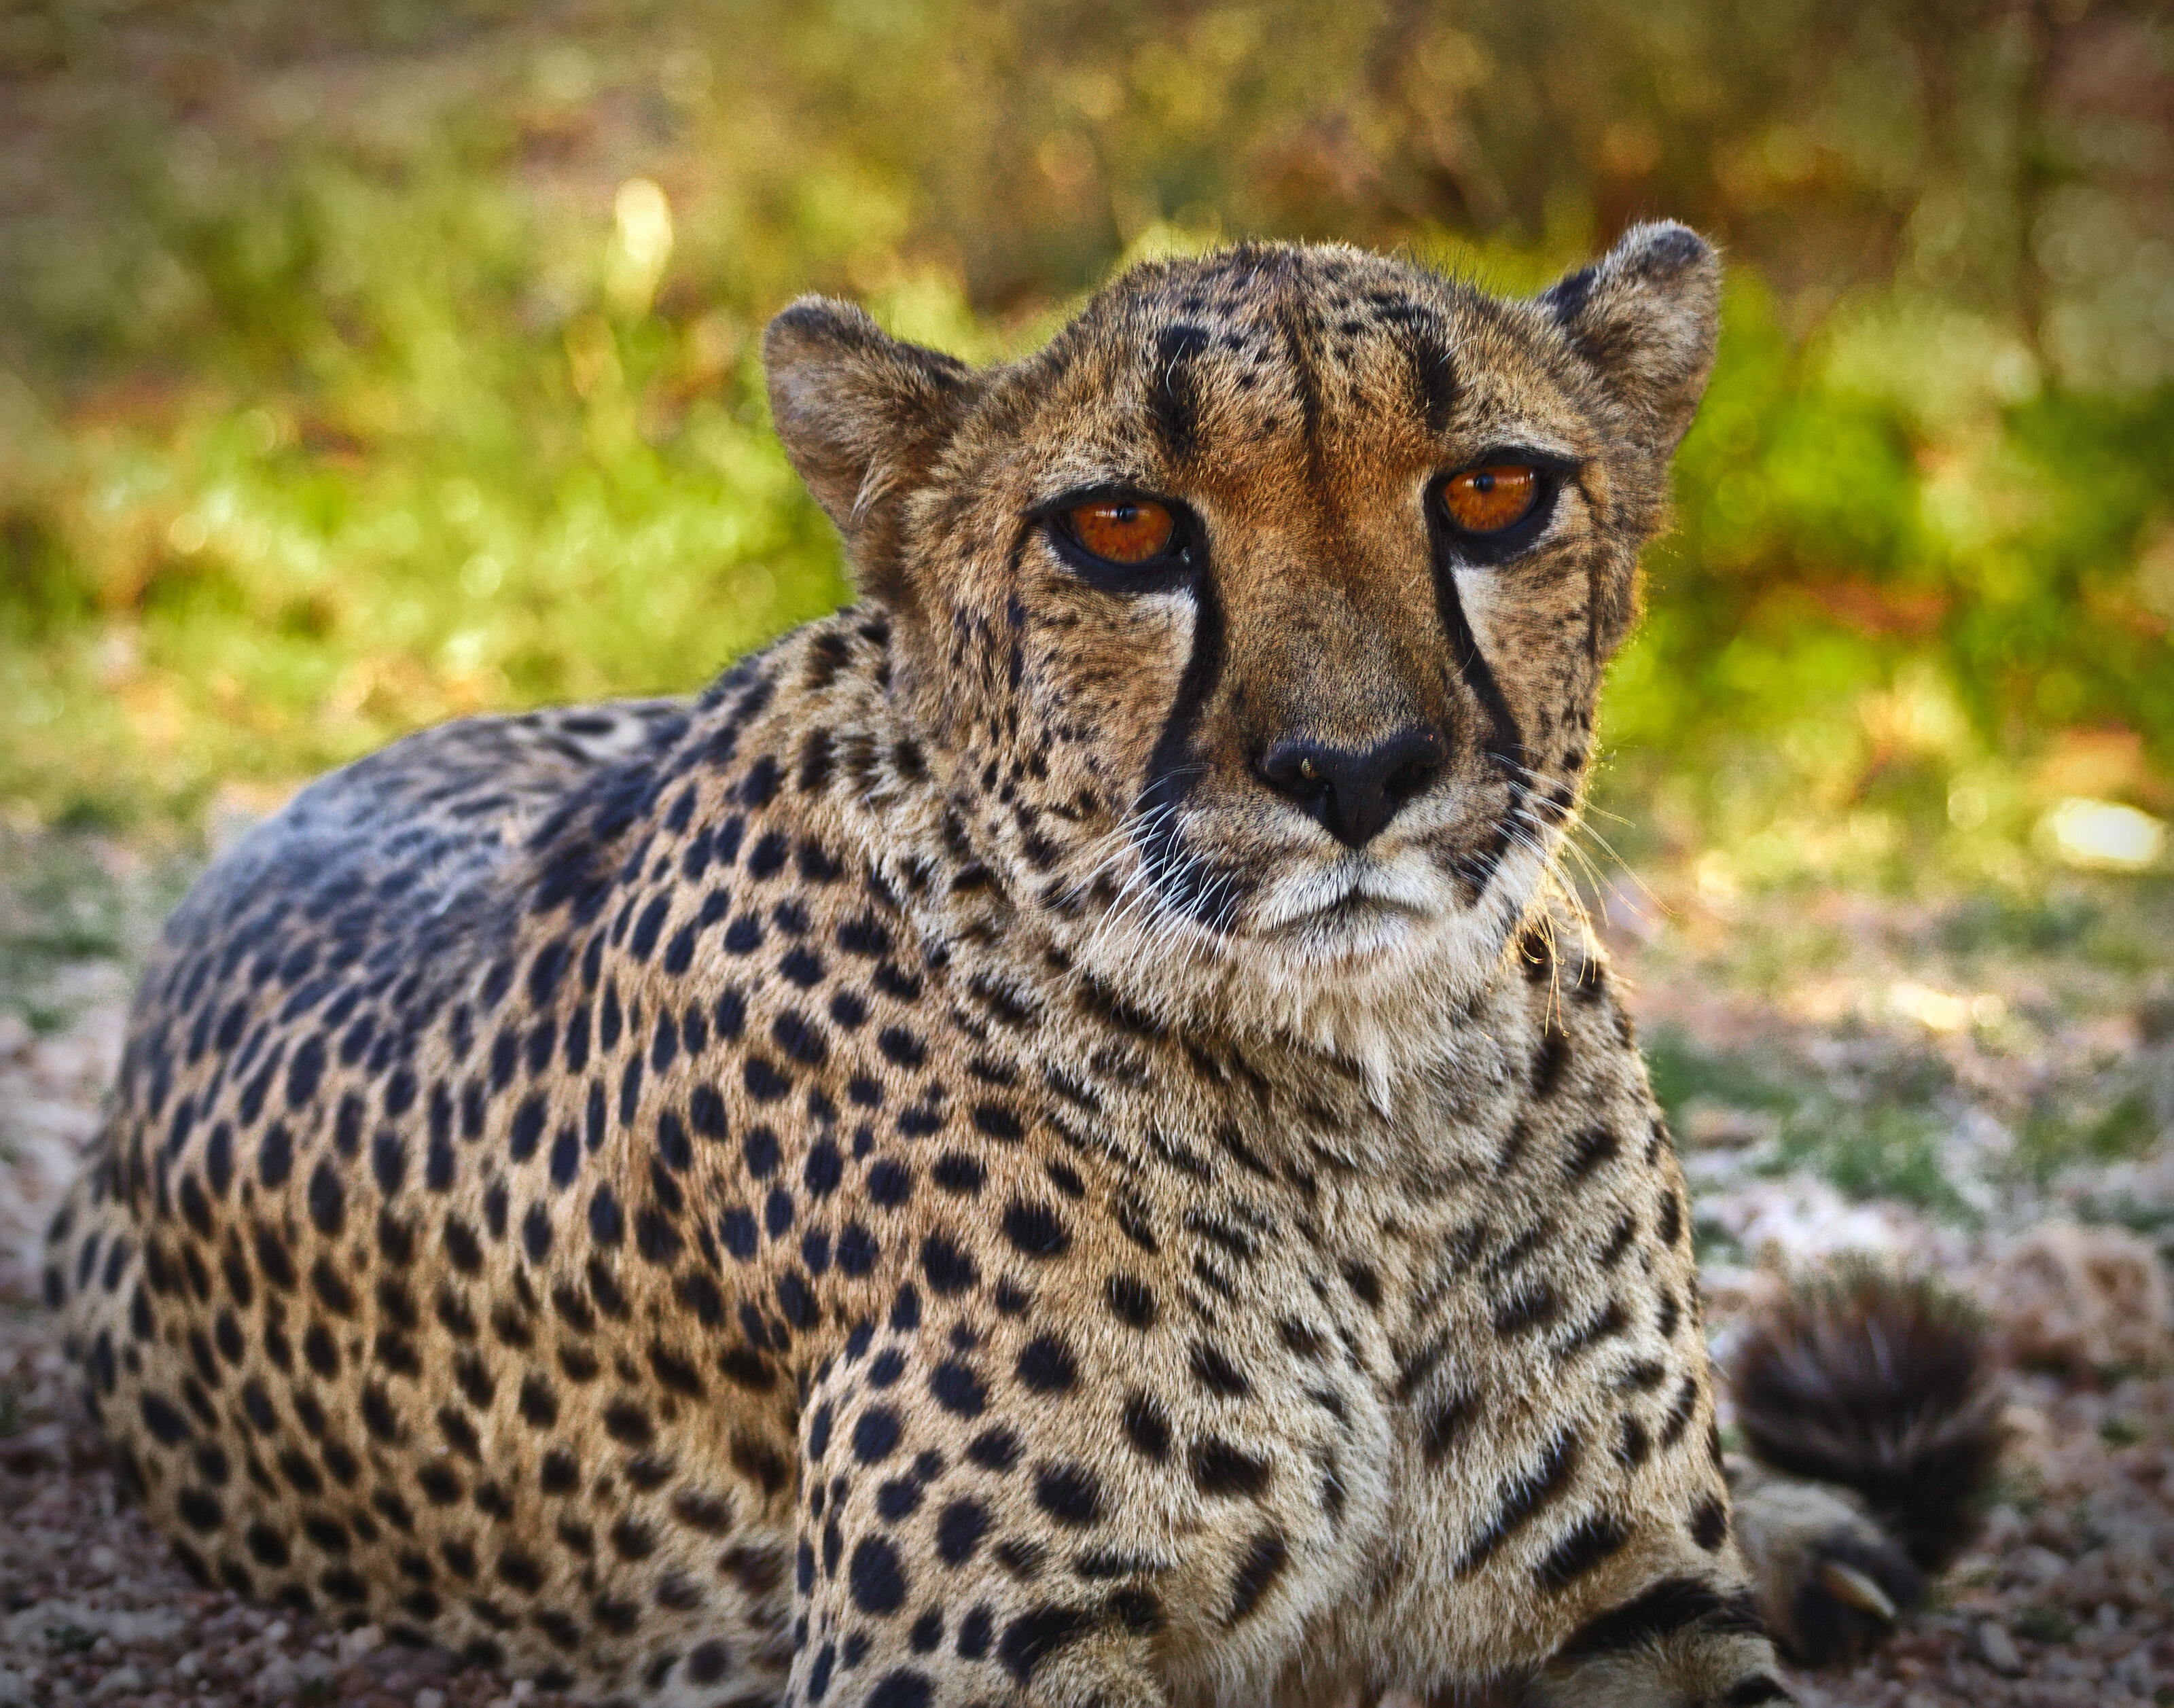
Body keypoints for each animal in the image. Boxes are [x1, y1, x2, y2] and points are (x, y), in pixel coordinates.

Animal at [46, 222, 2001, 1708]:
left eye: (1495, 492)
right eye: (1120, 529)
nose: (1357, 770)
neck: (1365, 1099)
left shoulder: (1634, 1610)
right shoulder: (976, 1659)